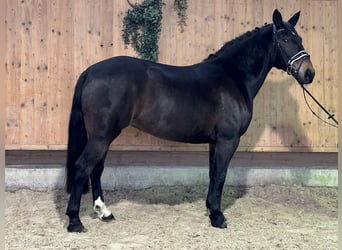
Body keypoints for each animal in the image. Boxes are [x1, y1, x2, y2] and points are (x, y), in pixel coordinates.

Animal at [65, 9, 316, 232]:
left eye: (300, 38)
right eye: (285, 39)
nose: (309, 73)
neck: (233, 77)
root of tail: (90, 71)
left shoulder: (215, 141)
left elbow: (213, 173)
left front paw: (210, 209)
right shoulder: (228, 140)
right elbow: (221, 174)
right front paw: (218, 217)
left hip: (103, 136)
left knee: (96, 169)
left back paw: (104, 212)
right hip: (101, 137)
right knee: (82, 167)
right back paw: (75, 221)